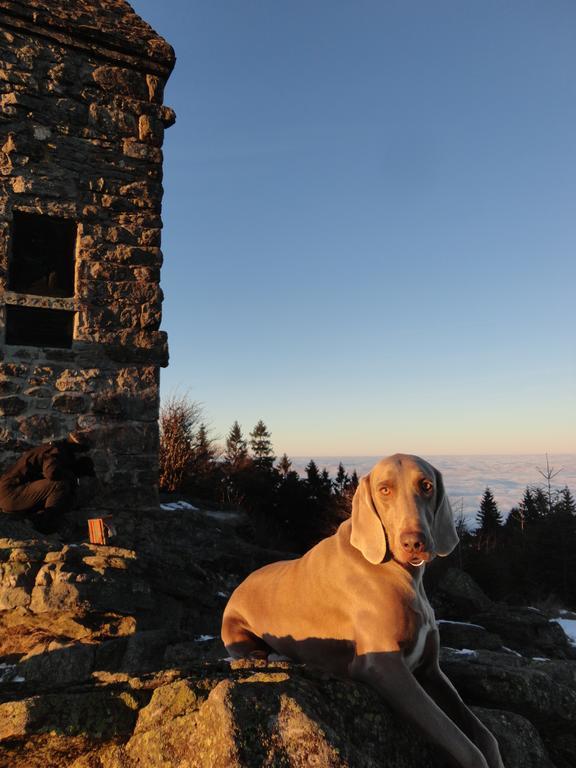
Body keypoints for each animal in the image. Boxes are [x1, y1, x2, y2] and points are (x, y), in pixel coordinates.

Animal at [223, 452, 502, 764]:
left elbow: (486, 737)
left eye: (426, 485)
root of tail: (241, 583)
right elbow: (462, 744)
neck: (403, 574)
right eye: (384, 490)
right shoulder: (382, 665)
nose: (414, 542)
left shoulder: (431, 670)